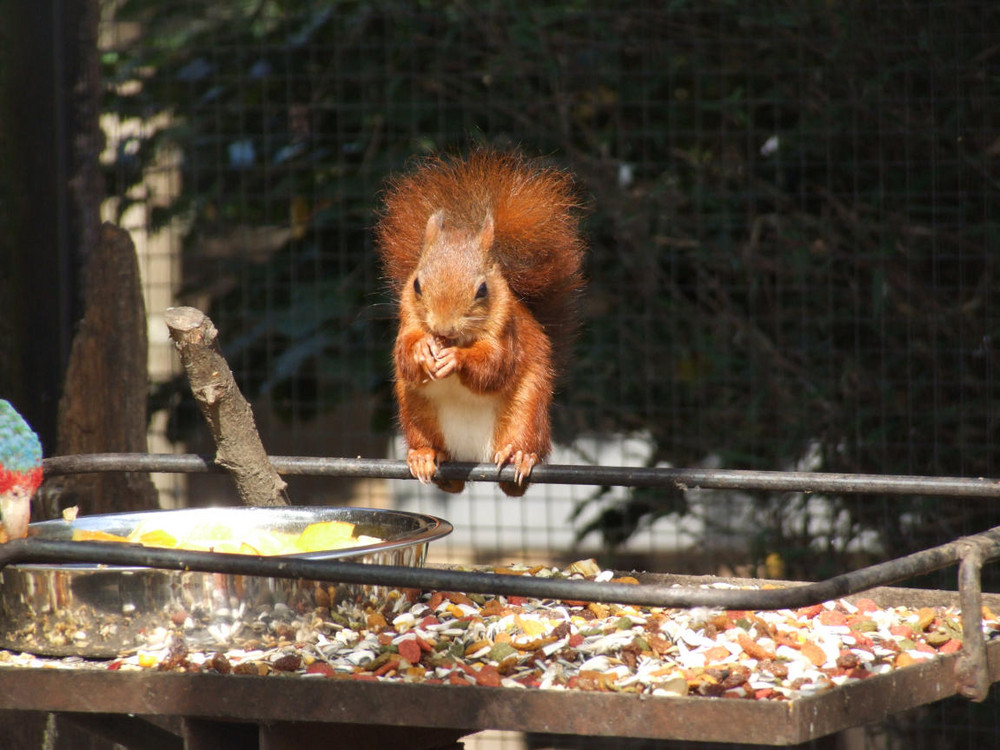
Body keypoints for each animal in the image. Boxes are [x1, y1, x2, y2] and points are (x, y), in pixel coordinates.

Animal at [376, 150, 584, 496]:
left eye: (483, 289)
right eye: (417, 284)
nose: (443, 328)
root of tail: (472, 455)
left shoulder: (507, 333)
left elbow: (494, 367)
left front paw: (455, 359)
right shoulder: (407, 324)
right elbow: (403, 356)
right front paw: (422, 350)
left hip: (527, 409)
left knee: (522, 450)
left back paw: (519, 457)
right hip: (415, 410)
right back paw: (424, 456)